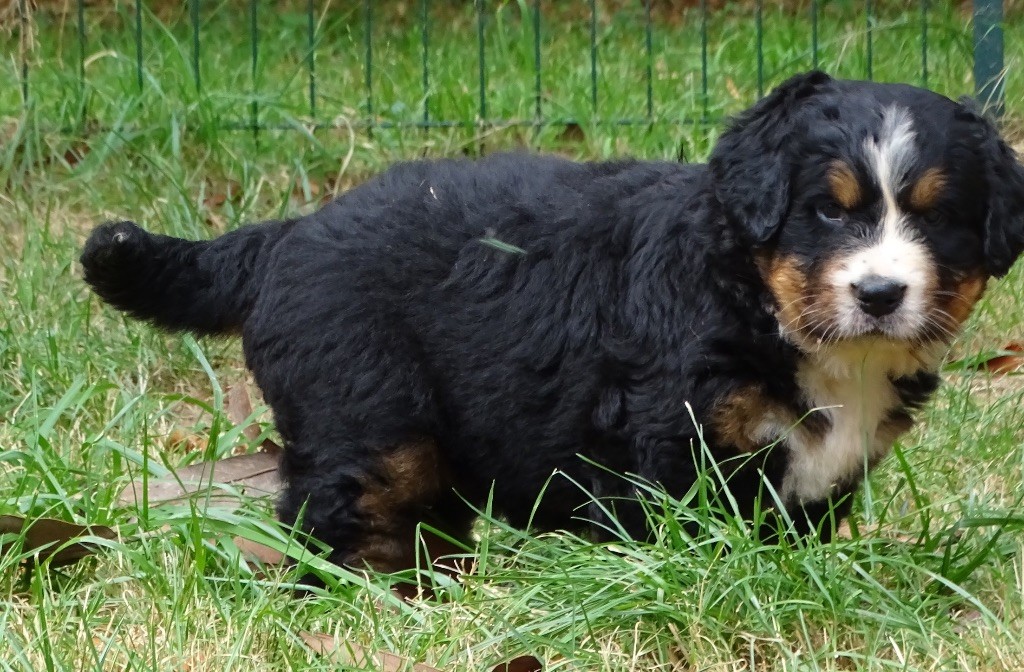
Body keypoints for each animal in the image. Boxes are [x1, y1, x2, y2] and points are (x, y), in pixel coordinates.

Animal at [82, 71, 1024, 575]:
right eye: (828, 212)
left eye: (937, 219)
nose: (880, 293)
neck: (758, 302)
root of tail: (289, 232)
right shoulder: (670, 445)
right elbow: (687, 545)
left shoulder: (817, 479)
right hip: (367, 414)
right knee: (347, 522)